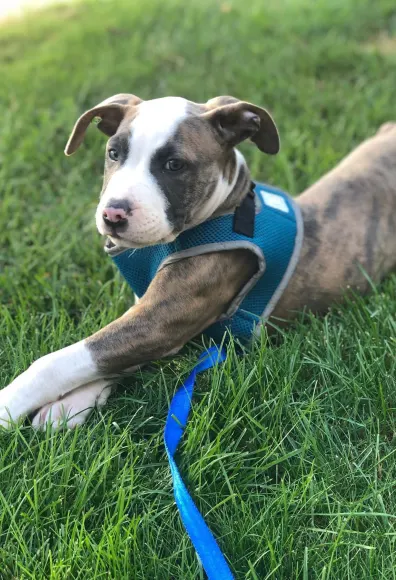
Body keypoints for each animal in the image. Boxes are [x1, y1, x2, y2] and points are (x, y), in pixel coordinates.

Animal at [0, 95, 396, 428]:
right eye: (113, 153)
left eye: (174, 165)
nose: (112, 215)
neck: (226, 213)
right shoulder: (154, 319)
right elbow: (102, 358)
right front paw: (71, 404)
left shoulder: (161, 320)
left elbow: (60, 361)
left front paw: (9, 406)